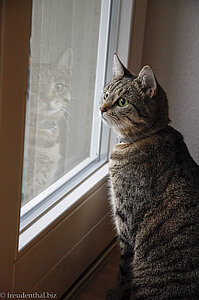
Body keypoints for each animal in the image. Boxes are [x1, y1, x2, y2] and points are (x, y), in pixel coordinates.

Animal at [100, 54, 199, 300]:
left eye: (122, 102)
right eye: (105, 94)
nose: (101, 108)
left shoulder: (126, 221)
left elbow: (123, 270)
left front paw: (116, 293)